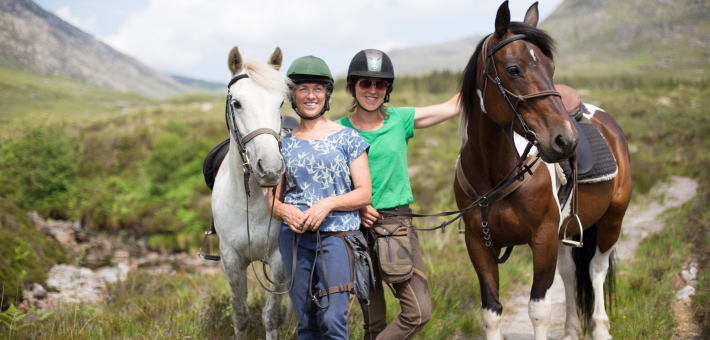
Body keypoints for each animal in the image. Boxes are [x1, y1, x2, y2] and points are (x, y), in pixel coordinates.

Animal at [213, 45, 290, 340]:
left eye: (280, 103)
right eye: (237, 103)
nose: (270, 169)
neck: (252, 200)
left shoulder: (279, 257)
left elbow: (271, 316)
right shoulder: (230, 258)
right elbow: (240, 315)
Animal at [458, 1, 636, 338]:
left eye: (551, 68)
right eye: (514, 69)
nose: (566, 140)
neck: (494, 176)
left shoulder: (541, 239)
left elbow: (539, 310)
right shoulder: (478, 244)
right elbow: (491, 312)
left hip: (612, 218)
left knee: (596, 269)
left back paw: (600, 328)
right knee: (569, 272)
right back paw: (571, 328)